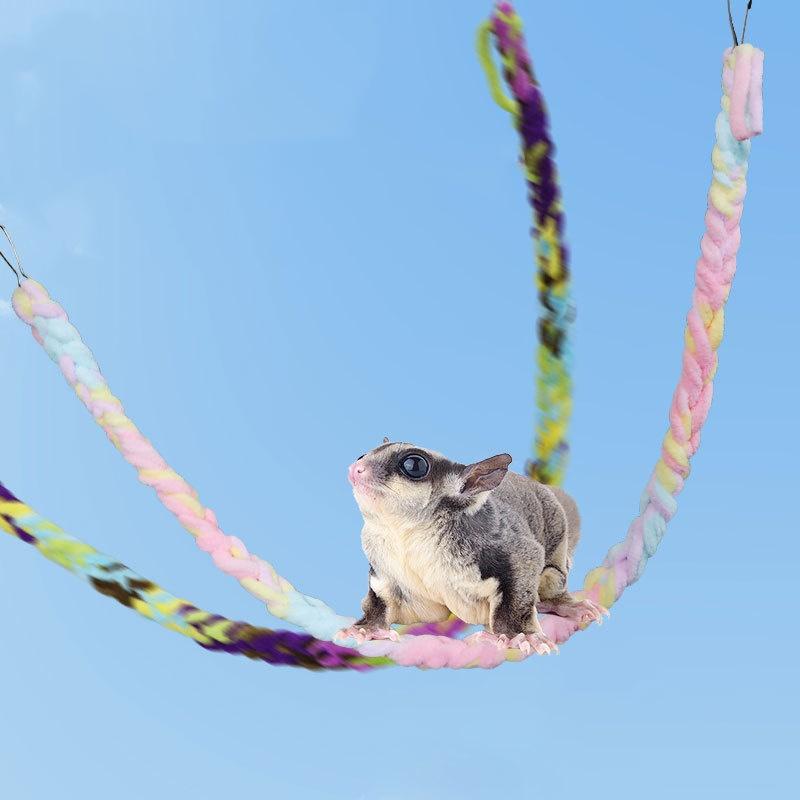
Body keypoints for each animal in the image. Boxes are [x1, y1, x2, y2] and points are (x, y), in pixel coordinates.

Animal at [336, 439, 608, 655]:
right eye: (362, 455)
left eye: (413, 465)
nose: (355, 468)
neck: (408, 534)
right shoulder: (388, 568)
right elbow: (387, 599)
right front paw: (367, 628)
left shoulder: (498, 543)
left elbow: (524, 566)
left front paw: (517, 634)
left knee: (551, 578)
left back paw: (564, 605)